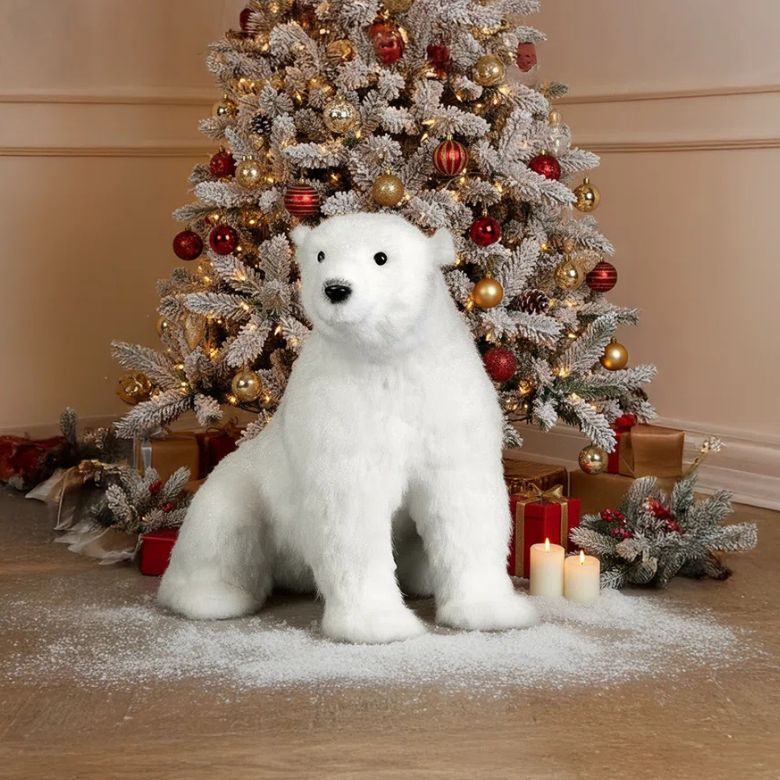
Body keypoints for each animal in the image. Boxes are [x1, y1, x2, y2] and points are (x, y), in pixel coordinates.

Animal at [158, 213, 536, 643]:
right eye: (321, 254)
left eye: (381, 257)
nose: (336, 288)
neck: (384, 359)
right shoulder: (340, 413)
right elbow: (351, 513)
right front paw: (378, 623)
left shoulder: (442, 402)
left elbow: (463, 504)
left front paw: (491, 610)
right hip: (243, 489)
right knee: (220, 529)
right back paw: (212, 597)